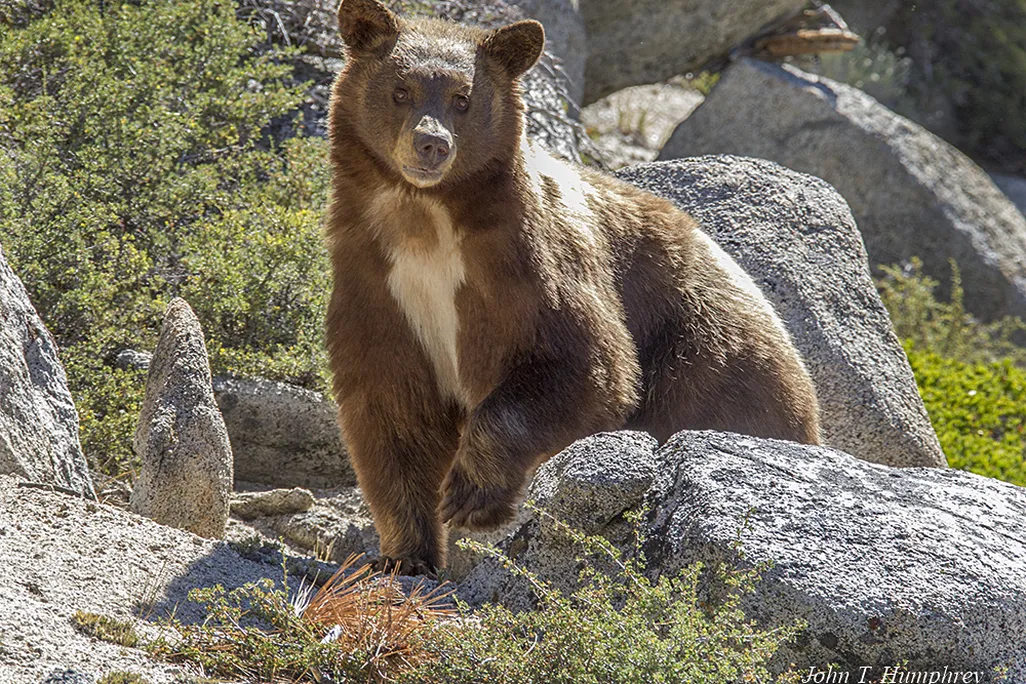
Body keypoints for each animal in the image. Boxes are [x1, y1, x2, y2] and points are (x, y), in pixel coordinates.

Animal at [325, 0, 821, 575]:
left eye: (462, 99)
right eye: (400, 89)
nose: (431, 144)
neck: (424, 220)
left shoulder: (529, 266)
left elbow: (585, 366)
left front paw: (471, 496)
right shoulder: (379, 286)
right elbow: (391, 410)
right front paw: (406, 554)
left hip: (710, 355)